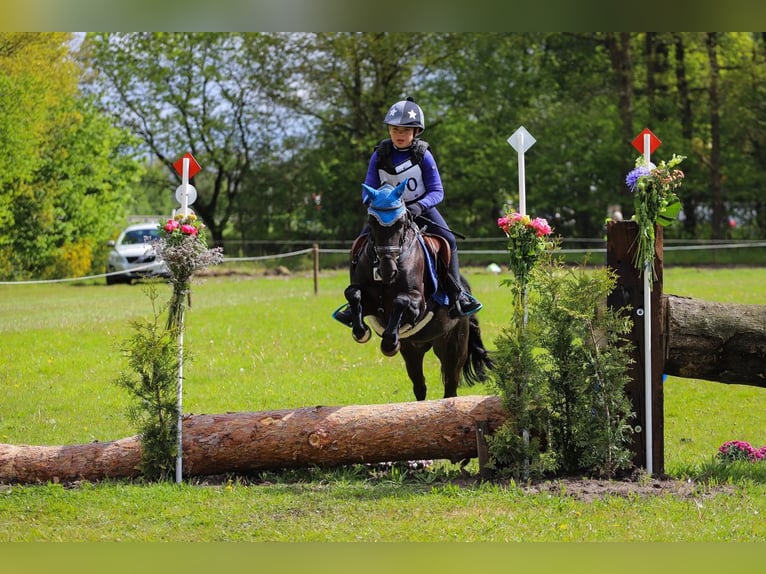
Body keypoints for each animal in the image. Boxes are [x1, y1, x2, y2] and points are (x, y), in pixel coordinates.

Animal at [340, 182, 496, 402]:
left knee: (450, 387)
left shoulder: (418, 304)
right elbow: (353, 294)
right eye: (372, 221)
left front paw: (389, 342)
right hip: (413, 349)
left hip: (453, 347)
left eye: (401, 222)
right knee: (420, 386)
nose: (387, 270)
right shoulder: (368, 300)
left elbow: (401, 301)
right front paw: (361, 331)